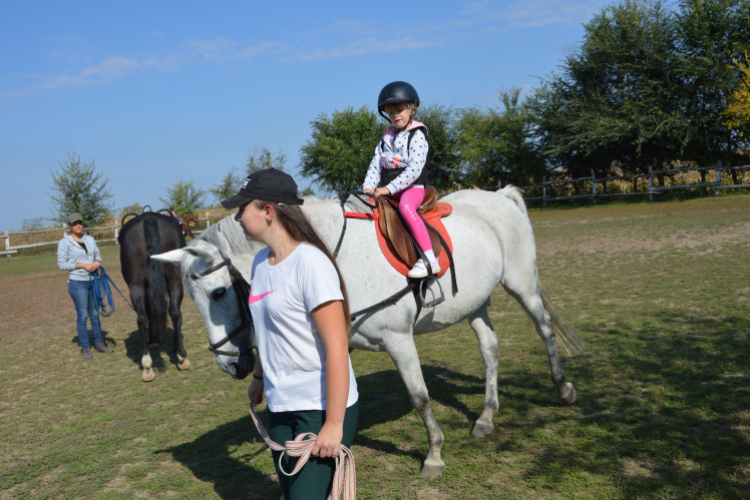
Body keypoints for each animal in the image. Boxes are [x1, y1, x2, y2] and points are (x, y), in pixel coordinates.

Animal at [119, 213, 191, 380]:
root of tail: (148, 217)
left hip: (137, 285)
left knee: (143, 318)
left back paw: (147, 364)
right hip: (174, 280)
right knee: (174, 313)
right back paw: (181, 357)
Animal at [154, 187, 588, 476]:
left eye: (219, 292)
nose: (230, 365)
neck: (330, 256)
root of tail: (498, 195)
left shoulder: (398, 340)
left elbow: (419, 397)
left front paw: (433, 453)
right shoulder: (336, 345)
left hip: (522, 284)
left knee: (544, 330)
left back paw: (563, 388)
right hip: (475, 303)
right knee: (490, 349)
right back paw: (485, 416)